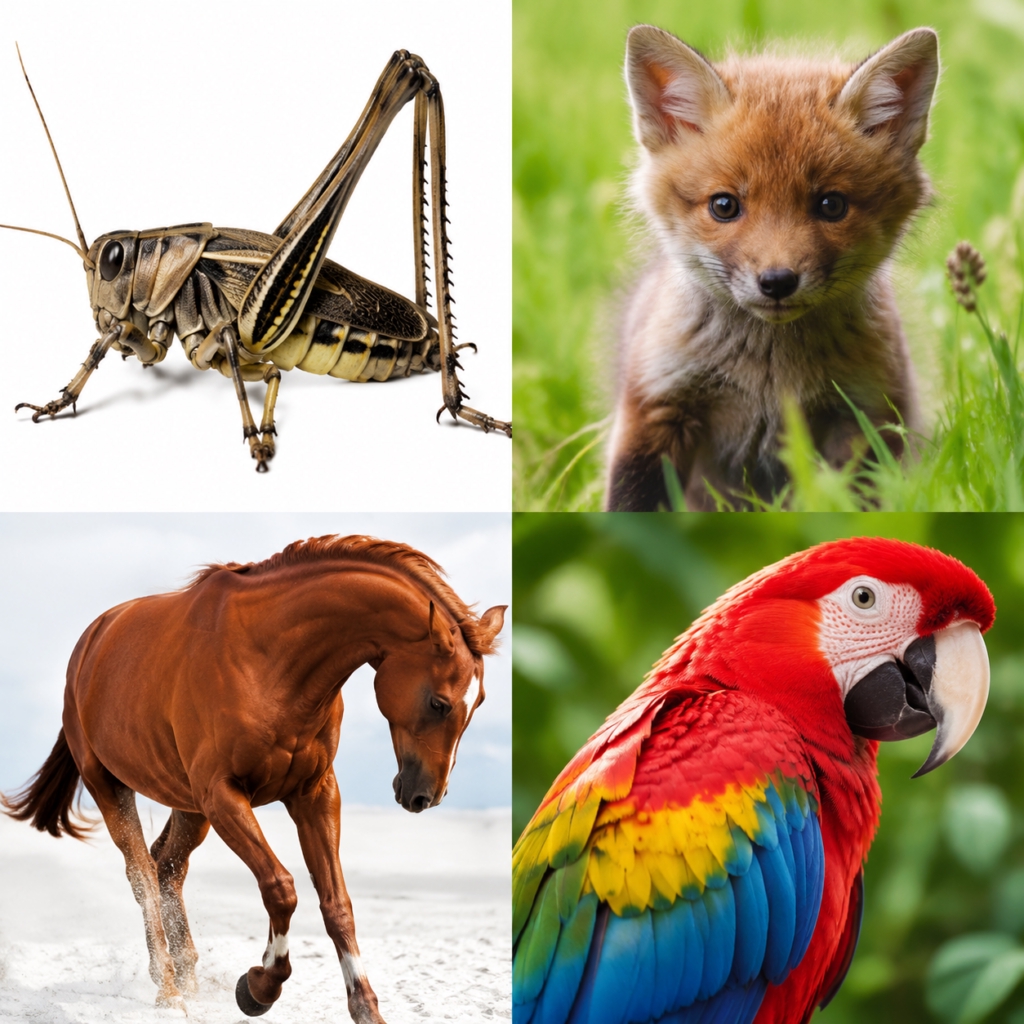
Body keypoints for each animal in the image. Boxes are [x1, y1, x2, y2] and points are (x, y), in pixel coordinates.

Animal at [2, 534, 505, 1023]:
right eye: (439, 703)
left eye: (478, 703)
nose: (426, 795)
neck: (271, 662)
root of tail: (89, 644)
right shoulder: (224, 795)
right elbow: (281, 889)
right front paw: (259, 987)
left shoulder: (315, 796)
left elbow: (337, 905)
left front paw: (366, 1009)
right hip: (112, 788)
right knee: (142, 874)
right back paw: (169, 991)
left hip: (188, 806)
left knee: (167, 867)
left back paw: (188, 977)